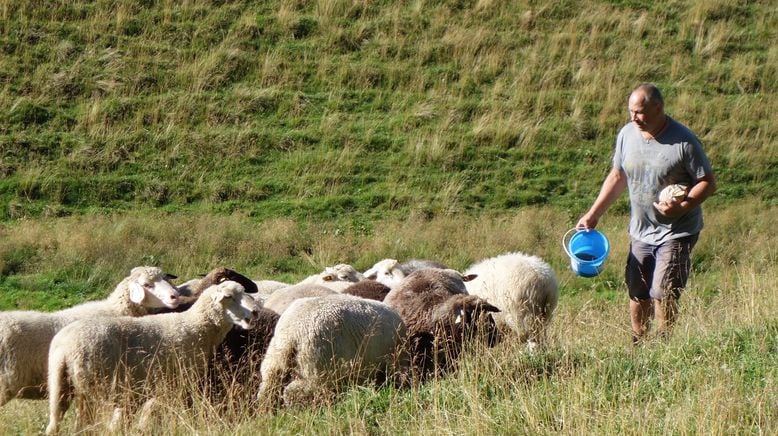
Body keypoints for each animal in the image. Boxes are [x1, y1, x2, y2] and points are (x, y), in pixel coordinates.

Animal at [46, 282, 260, 434]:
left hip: (60, 385)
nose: (256, 312)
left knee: (55, 425)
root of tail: (64, 346)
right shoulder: (178, 383)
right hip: (94, 389)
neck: (197, 327)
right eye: (229, 297)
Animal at [258, 292, 410, 412]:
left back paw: (267, 411)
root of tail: (292, 335)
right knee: (298, 390)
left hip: (276, 357)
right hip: (318, 362)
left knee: (269, 387)